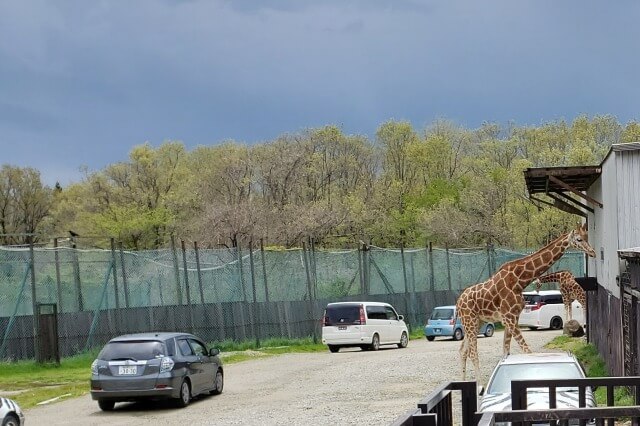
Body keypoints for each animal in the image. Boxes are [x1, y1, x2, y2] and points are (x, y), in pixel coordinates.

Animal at [456, 223, 596, 380]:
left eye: (587, 237)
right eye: (578, 239)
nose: (592, 252)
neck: (520, 281)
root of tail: (458, 302)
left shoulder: (513, 318)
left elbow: (506, 351)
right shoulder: (509, 318)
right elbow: (527, 351)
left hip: (477, 321)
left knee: (463, 350)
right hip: (469, 320)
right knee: (473, 352)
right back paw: (480, 383)